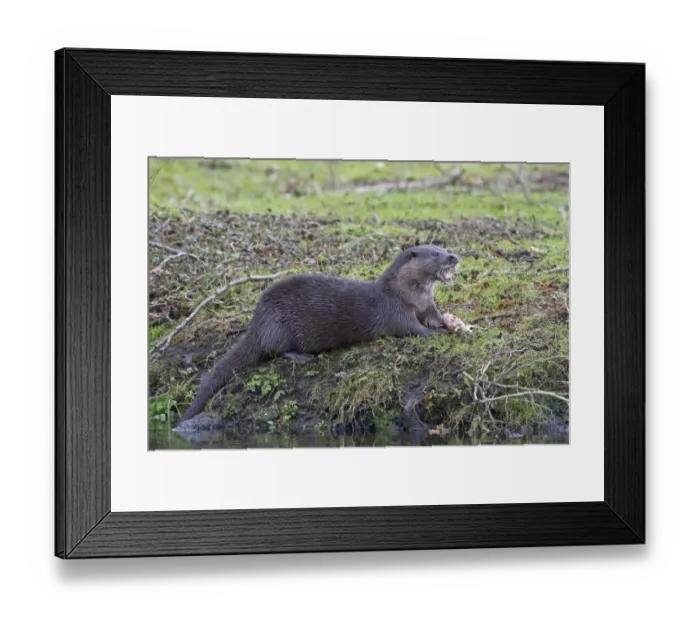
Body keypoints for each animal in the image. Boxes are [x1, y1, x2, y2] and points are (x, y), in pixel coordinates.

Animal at [178, 245, 460, 423]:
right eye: (436, 253)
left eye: (444, 247)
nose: (453, 256)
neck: (408, 293)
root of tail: (255, 325)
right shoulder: (394, 310)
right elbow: (411, 328)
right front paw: (435, 334)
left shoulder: (428, 305)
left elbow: (436, 317)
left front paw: (453, 325)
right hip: (277, 326)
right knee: (275, 349)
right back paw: (301, 356)